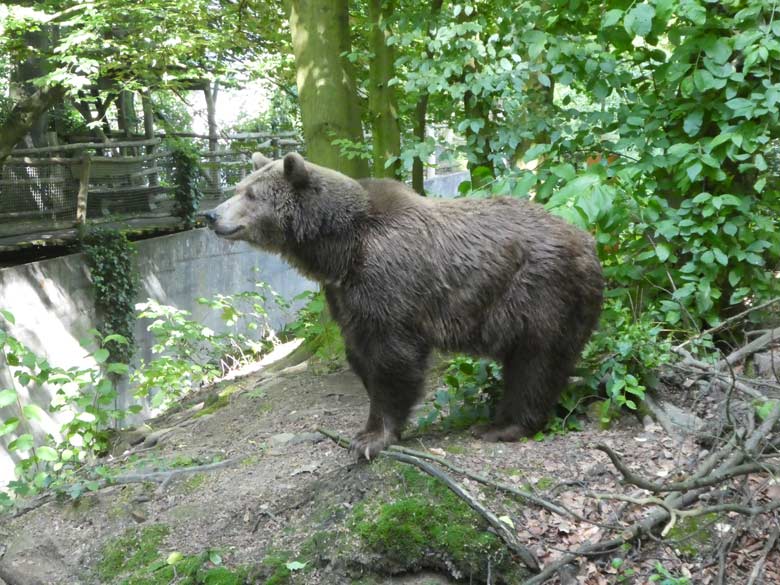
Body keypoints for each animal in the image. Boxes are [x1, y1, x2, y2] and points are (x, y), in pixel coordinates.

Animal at [203, 153, 604, 458]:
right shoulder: (345, 296)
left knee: (536, 359)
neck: (339, 249)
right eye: (238, 188)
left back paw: (505, 425)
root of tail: (588, 241)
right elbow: (360, 355)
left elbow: (392, 360)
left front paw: (371, 438)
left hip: (539, 290)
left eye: (251, 194)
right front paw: (367, 430)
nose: (211, 215)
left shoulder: (389, 280)